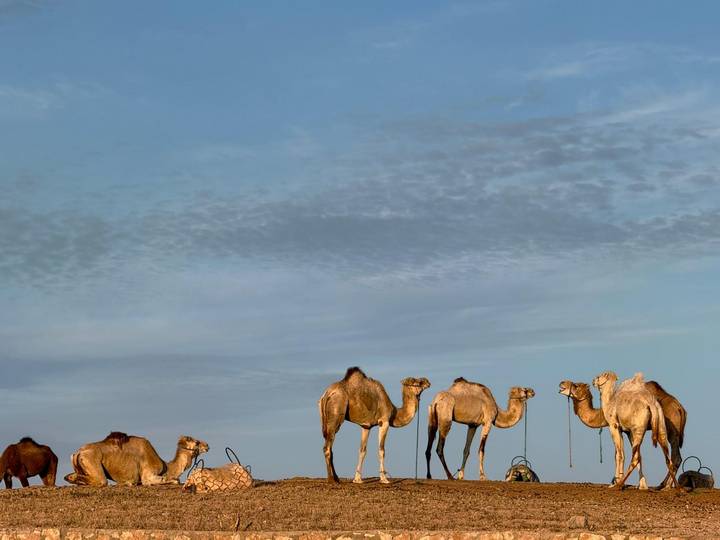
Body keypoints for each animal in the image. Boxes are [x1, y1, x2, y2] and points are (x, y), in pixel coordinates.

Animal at [64, 431, 208, 486]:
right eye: (196, 442)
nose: (207, 445)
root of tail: (78, 452)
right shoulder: (148, 476)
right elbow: (175, 480)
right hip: (91, 459)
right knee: (101, 481)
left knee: (70, 476)